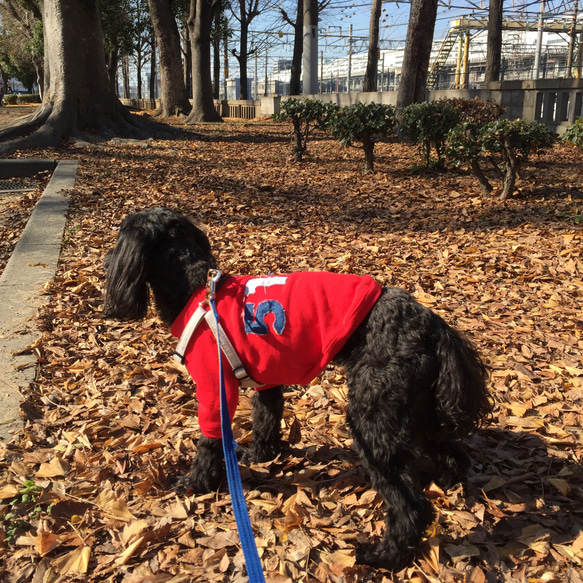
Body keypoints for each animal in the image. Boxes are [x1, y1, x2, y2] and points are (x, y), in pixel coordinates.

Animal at [102, 208, 490, 572]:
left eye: (119, 235)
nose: (105, 260)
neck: (195, 289)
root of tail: (435, 326)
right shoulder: (265, 379)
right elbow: (266, 417)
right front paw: (261, 455)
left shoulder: (215, 390)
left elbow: (211, 441)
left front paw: (196, 483)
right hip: (413, 408)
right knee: (449, 452)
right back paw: (442, 479)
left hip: (374, 418)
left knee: (410, 505)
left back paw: (386, 555)